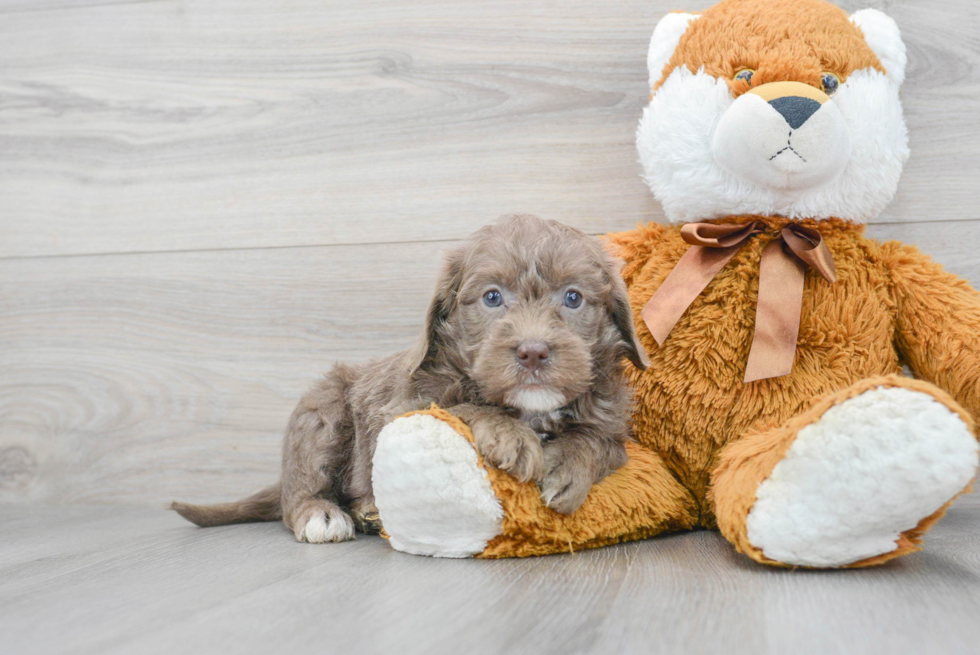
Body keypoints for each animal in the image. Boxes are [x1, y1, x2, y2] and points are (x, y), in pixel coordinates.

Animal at [174, 215, 652, 544]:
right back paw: (323, 514)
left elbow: (597, 440)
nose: (533, 351)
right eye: (492, 297)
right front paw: (510, 435)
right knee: (301, 490)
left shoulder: (613, 425)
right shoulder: (404, 407)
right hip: (323, 412)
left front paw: (565, 467)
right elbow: (460, 406)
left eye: (573, 298)